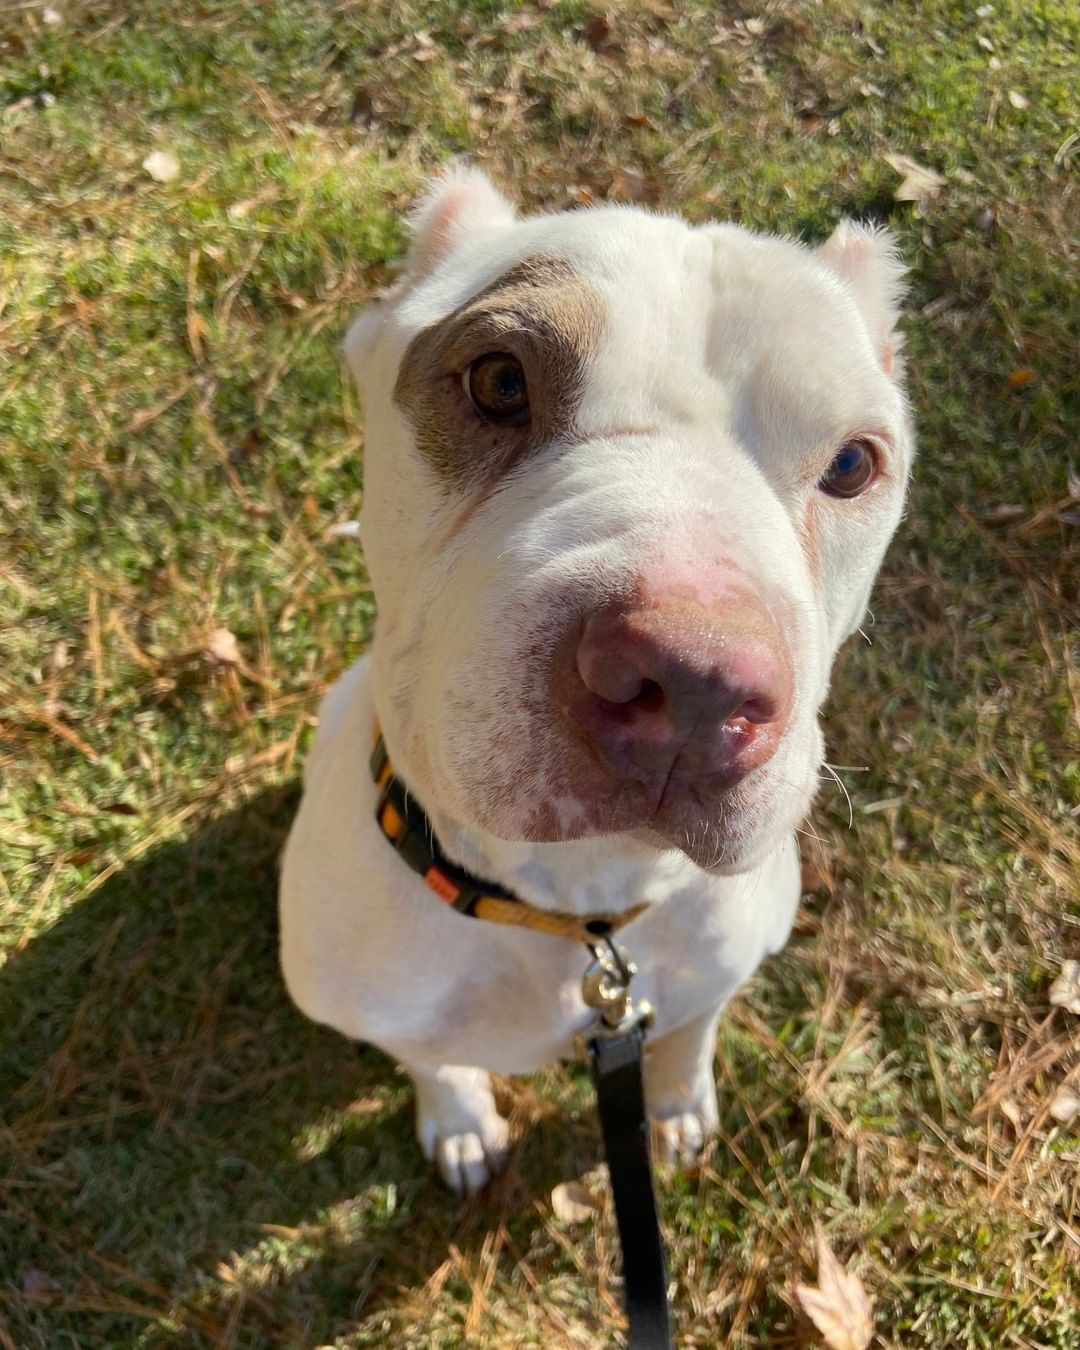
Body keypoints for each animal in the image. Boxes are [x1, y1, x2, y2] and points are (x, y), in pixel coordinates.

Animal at [280, 166, 912, 1193]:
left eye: (854, 463)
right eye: (498, 380)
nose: (696, 682)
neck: (580, 908)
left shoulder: (711, 976)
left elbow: (690, 1034)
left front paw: (678, 1106)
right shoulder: (385, 1010)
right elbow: (429, 1058)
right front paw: (459, 1118)